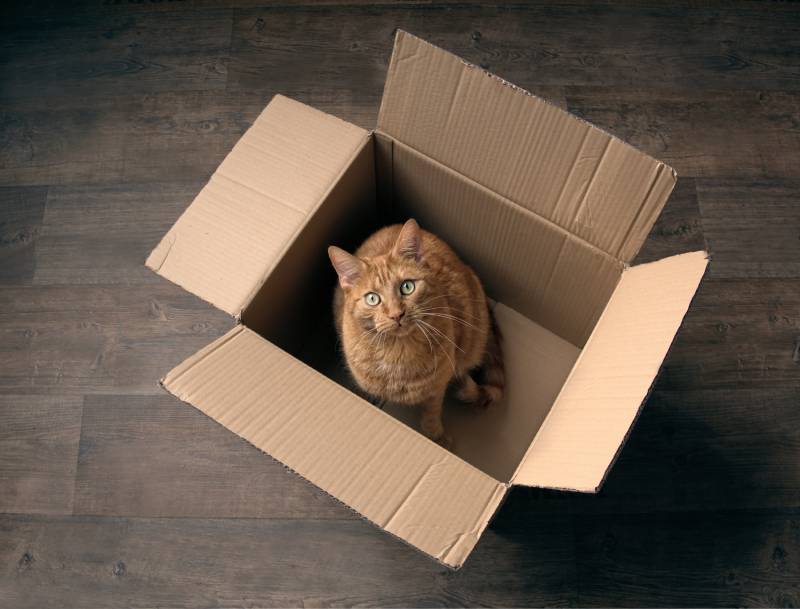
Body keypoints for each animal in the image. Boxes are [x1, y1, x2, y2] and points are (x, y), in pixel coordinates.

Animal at [326, 220, 504, 446]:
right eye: (372, 298)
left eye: (407, 287)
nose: (396, 314)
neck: (397, 353)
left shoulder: (437, 387)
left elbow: (431, 414)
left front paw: (436, 437)